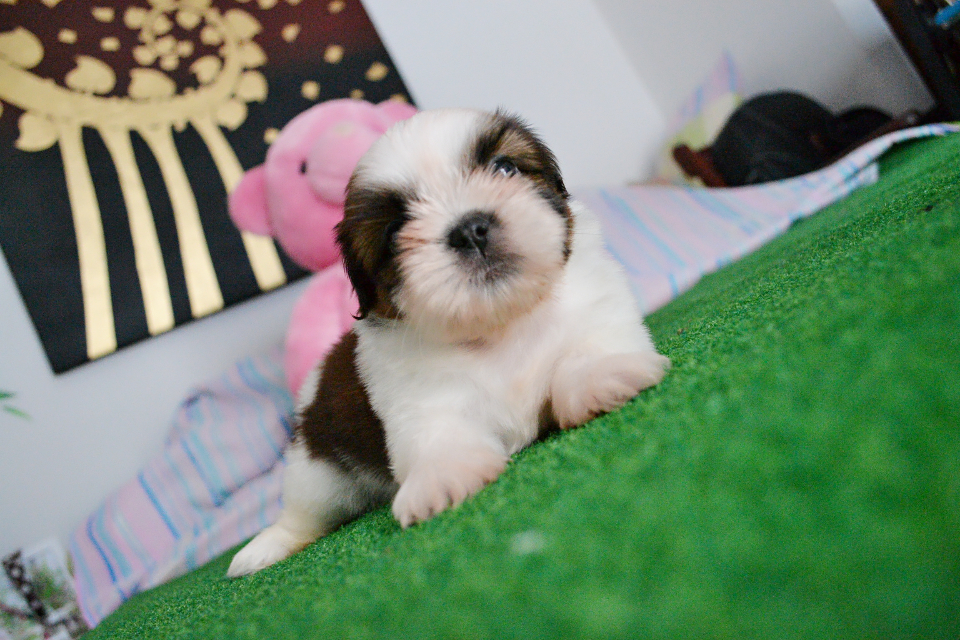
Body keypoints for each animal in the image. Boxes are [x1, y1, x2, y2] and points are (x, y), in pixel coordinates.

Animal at [227, 108, 670, 577]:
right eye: (395, 231)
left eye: (505, 168)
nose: (470, 230)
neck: (500, 324)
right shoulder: (415, 395)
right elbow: (438, 432)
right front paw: (439, 476)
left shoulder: (595, 304)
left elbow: (589, 348)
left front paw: (601, 377)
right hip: (316, 465)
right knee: (303, 512)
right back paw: (265, 548)